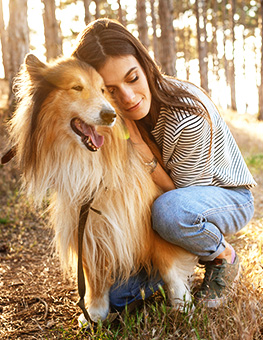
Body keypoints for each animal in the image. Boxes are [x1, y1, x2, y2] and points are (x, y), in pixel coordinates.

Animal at [6, 53, 198, 322]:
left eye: (104, 90)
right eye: (76, 87)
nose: (110, 115)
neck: (88, 160)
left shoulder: (149, 214)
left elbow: (170, 266)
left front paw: (183, 305)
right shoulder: (84, 223)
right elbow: (93, 274)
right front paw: (95, 313)